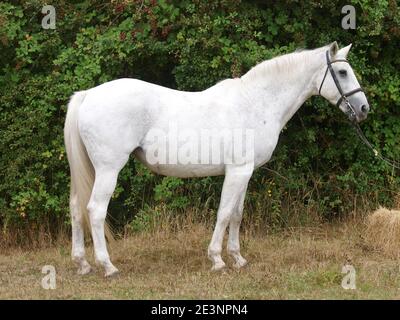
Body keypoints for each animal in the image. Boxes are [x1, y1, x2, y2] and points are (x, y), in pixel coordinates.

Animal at [65, 41, 368, 276]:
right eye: (342, 72)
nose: (364, 108)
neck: (255, 103)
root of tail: (87, 95)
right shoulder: (237, 171)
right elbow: (223, 213)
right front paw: (217, 259)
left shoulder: (245, 172)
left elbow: (236, 214)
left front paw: (238, 258)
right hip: (108, 169)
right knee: (95, 210)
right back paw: (108, 266)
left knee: (76, 209)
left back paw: (82, 264)